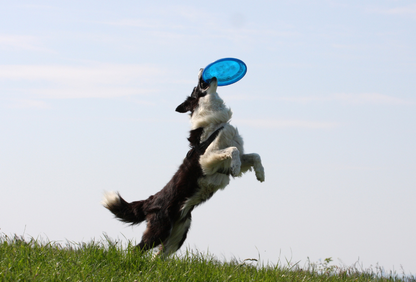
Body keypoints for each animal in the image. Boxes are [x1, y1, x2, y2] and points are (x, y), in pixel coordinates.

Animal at [102, 68, 264, 258]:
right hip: (160, 229)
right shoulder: (206, 159)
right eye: (196, 87)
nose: (201, 68)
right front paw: (236, 166)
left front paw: (261, 174)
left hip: (178, 233)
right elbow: (233, 150)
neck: (217, 123)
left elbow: (255, 155)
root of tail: (151, 201)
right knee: (137, 249)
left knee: (159, 257)